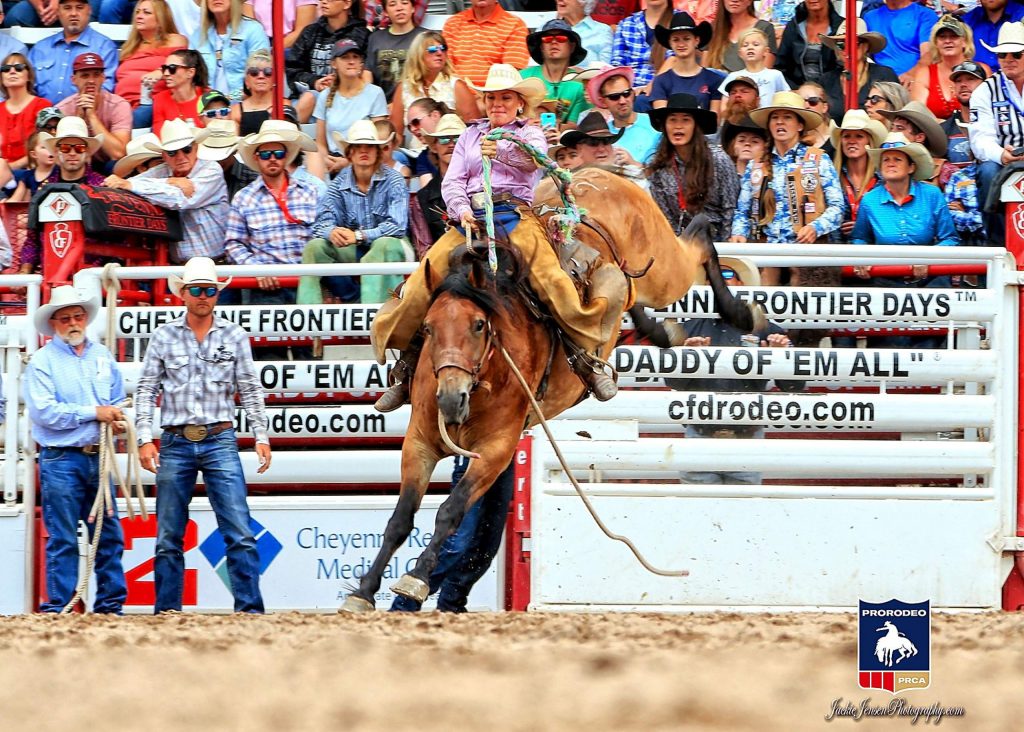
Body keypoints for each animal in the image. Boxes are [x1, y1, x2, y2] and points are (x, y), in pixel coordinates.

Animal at [339, 165, 757, 614]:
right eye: (429, 329)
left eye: (479, 325)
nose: (451, 398)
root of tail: (602, 174)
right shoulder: (418, 439)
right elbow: (401, 517)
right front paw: (363, 592)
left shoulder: (497, 449)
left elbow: (450, 511)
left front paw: (414, 579)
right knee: (630, 293)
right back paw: (662, 331)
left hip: (664, 267)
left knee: (696, 236)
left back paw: (743, 311)